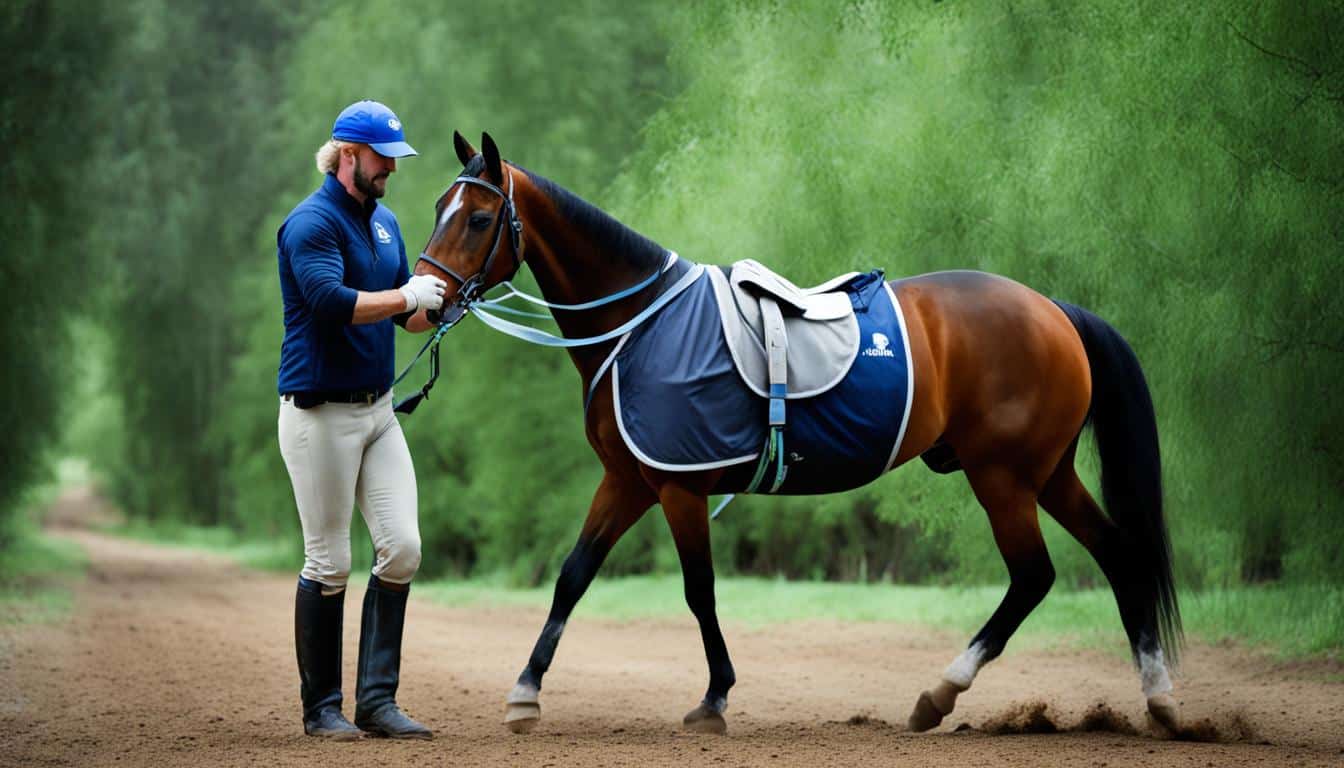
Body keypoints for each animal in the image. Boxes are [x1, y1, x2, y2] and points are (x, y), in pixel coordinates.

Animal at [413, 133, 1182, 737]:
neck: (643, 324)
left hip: (1004, 478)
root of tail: (1052, 309)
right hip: (1048, 474)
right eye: (437, 208)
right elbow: (573, 577)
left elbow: (699, 590)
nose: (424, 299)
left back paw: (940, 693)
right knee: (1118, 555)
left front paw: (715, 698)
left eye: (479, 218)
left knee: (1033, 576)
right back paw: (1158, 699)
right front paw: (524, 693)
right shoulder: (628, 481)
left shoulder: (680, 488)